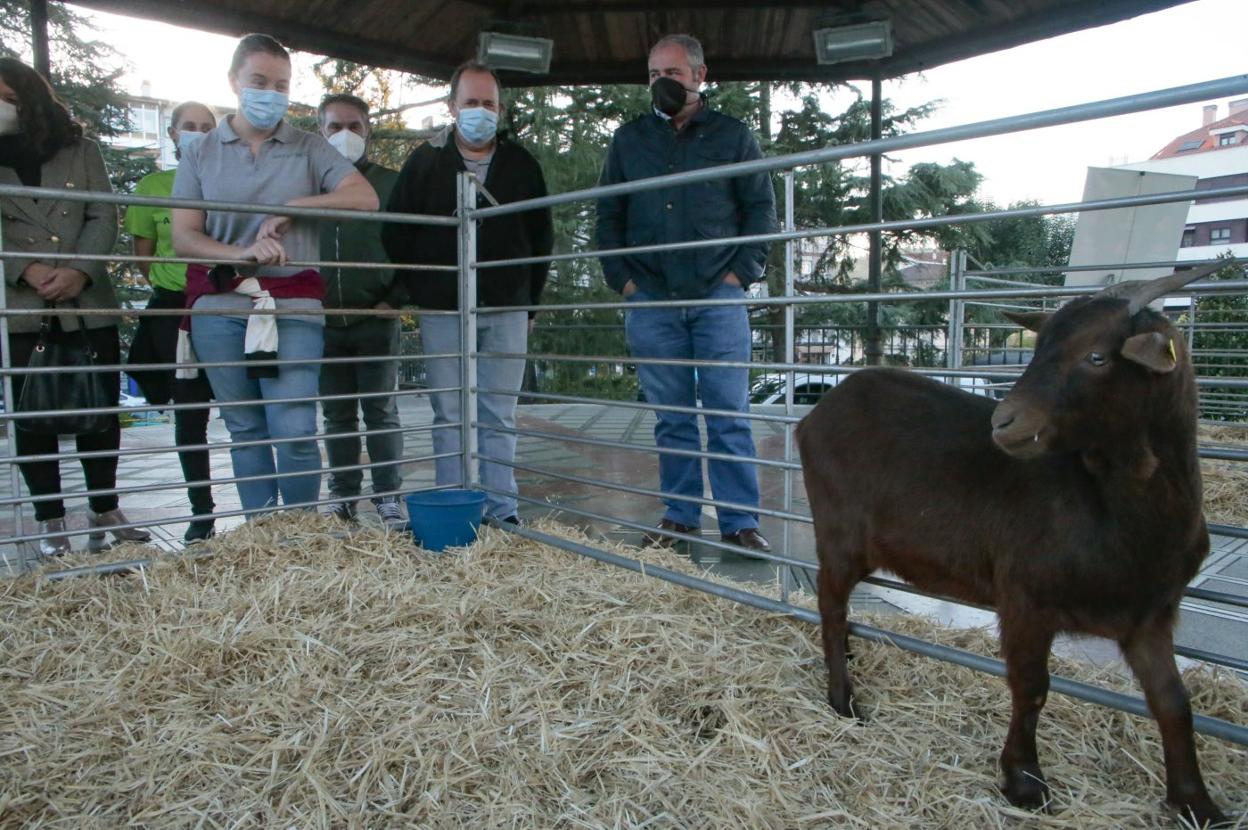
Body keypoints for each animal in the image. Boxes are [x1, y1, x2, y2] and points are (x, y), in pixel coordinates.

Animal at [793, 263, 1233, 823]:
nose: (1004, 421)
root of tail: (818, 411)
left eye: (1097, 356)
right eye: (1039, 346)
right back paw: (843, 698)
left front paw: (1196, 802)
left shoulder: (1149, 615)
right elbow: (1031, 689)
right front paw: (1024, 782)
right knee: (830, 603)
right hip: (840, 534)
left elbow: (1173, 701)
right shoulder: (1026, 599)